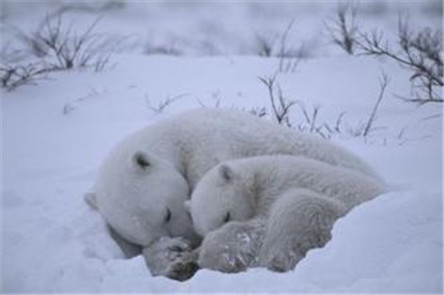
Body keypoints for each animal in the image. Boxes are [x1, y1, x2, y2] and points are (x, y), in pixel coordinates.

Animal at [189, 156, 386, 274]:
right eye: (204, 230)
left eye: (227, 216)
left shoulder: (274, 191)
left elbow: (259, 229)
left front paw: (209, 254)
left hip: (332, 216)